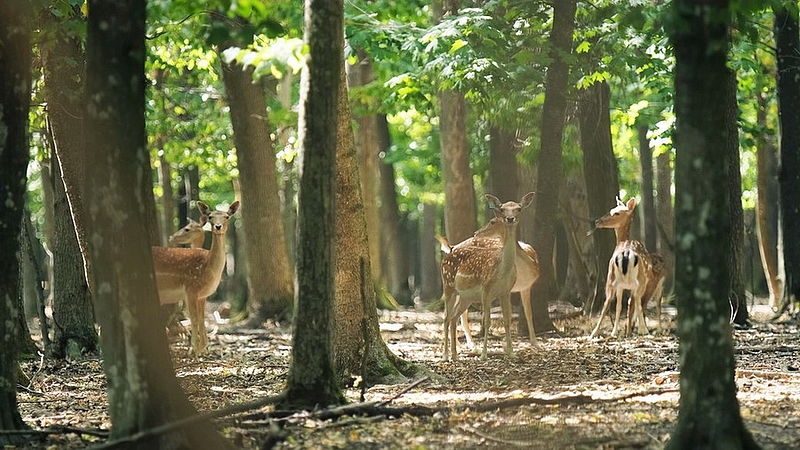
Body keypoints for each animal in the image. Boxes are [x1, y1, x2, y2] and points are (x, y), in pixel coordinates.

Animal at [149, 201, 238, 356]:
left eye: (227, 216)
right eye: (210, 216)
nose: (218, 226)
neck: (208, 269)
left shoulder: (203, 295)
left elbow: (202, 320)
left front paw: (203, 349)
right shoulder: (191, 289)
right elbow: (195, 319)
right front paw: (195, 351)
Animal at [440, 192, 536, 360]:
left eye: (518, 208)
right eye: (502, 209)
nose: (510, 219)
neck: (502, 271)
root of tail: (447, 254)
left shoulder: (505, 292)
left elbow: (507, 320)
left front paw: (511, 353)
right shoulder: (486, 289)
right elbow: (487, 322)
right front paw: (484, 355)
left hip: (465, 297)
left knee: (453, 317)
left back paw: (455, 355)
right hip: (448, 285)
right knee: (446, 317)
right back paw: (446, 355)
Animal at [592, 197, 664, 338]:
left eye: (616, 213)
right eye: (611, 209)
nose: (597, 221)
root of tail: (626, 254)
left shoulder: (622, 286)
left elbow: (621, 306)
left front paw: (620, 331)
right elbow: (629, 305)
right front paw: (628, 331)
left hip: (612, 278)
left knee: (609, 302)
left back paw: (596, 333)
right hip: (636, 281)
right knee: (636, 302)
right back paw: (642, 330)